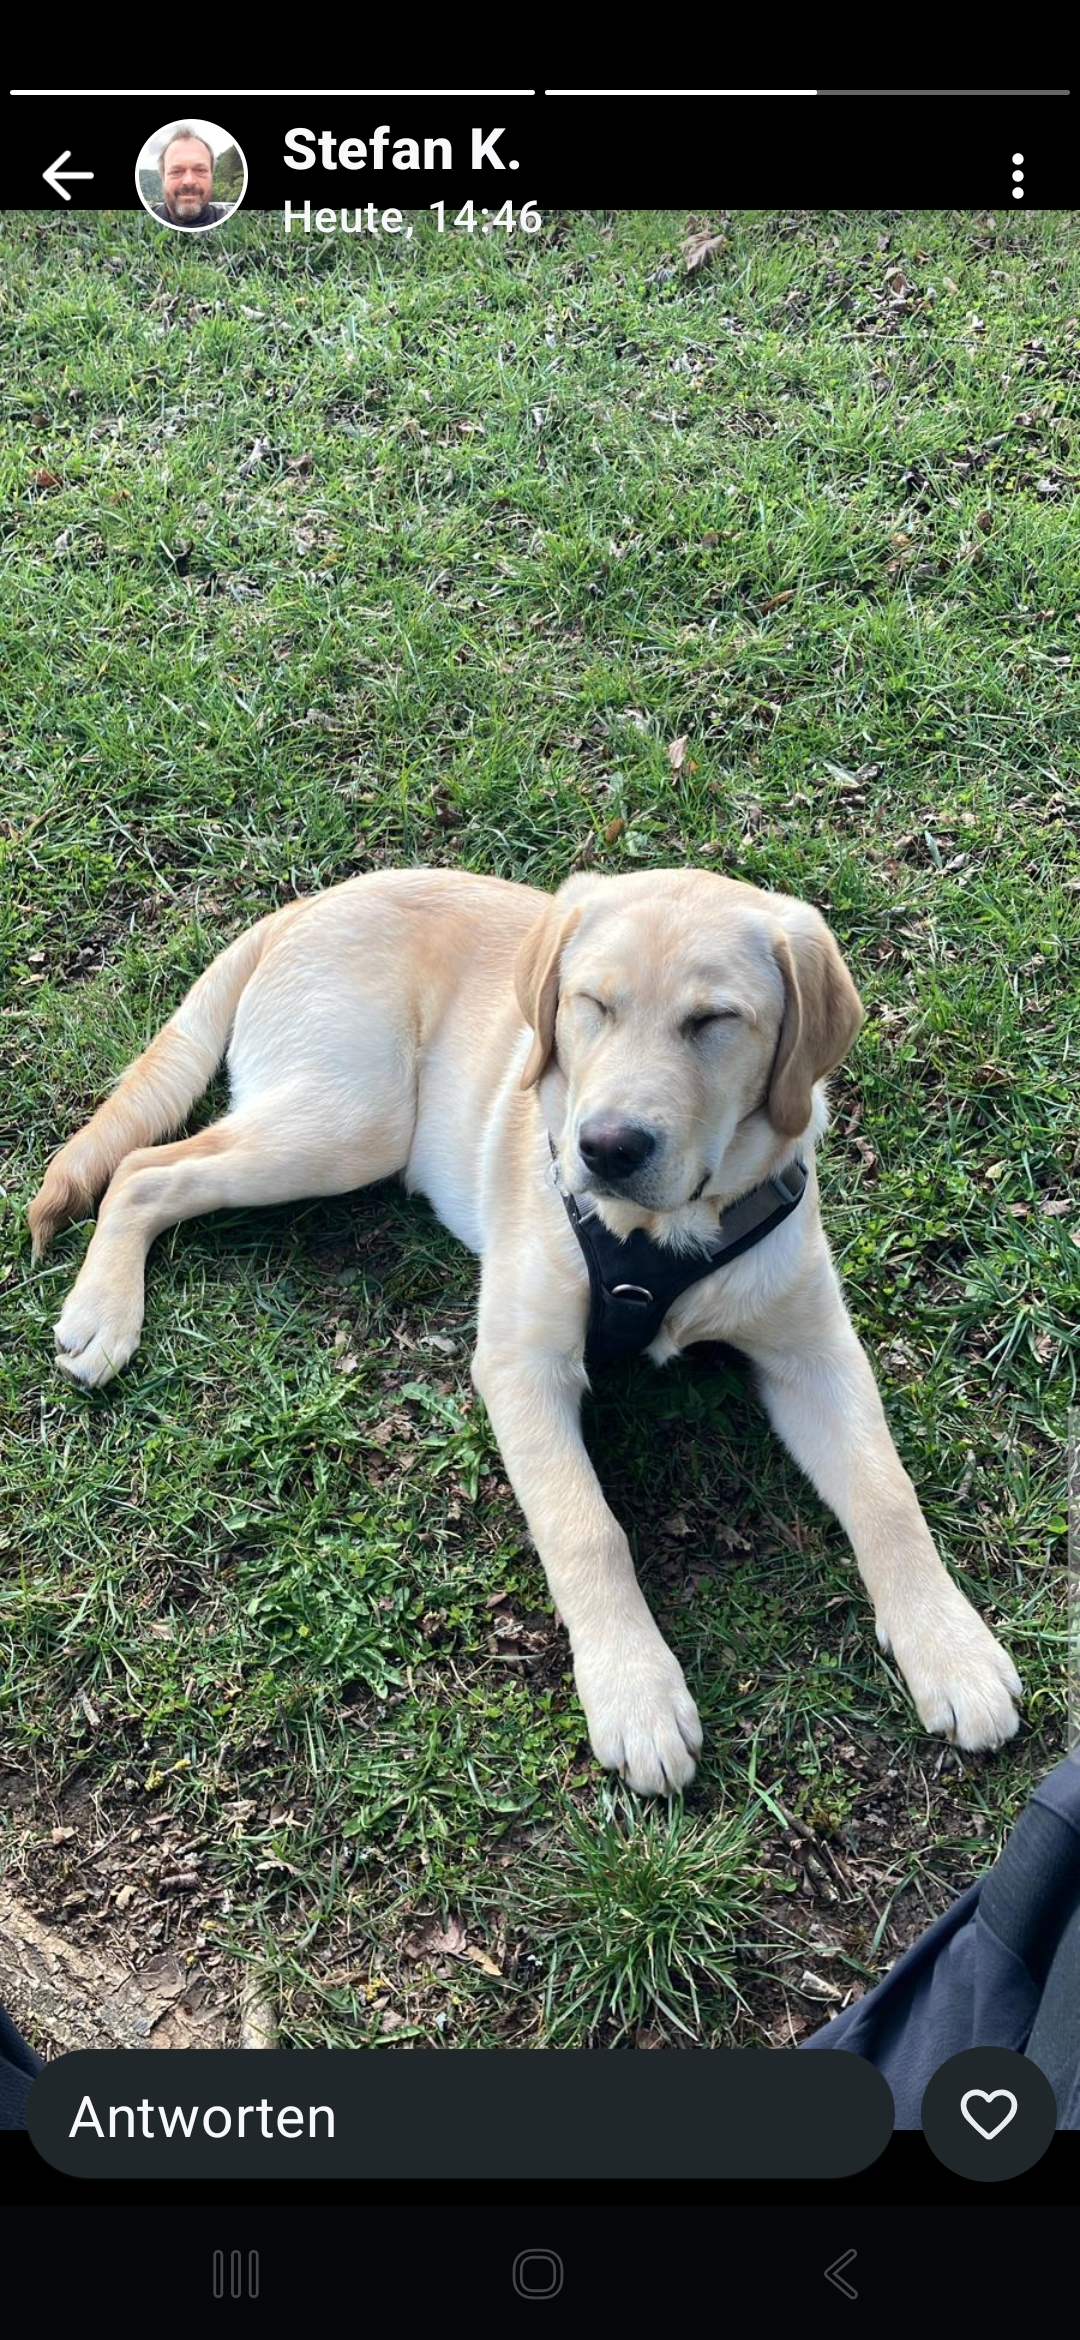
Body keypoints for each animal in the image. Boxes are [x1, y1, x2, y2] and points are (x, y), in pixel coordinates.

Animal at [29, 866, 1022, 1793]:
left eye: (713, 1021)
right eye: (593, 1004)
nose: (608, 1147)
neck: (660, 1236)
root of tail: (316, 901)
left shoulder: (814, 1350)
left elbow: (887, 1495)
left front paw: (953, 1649)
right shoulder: (522, 1363)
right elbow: (587, 1529)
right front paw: (635, 1694)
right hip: (350, 1119)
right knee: (145, 1171)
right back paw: (101, 1313)